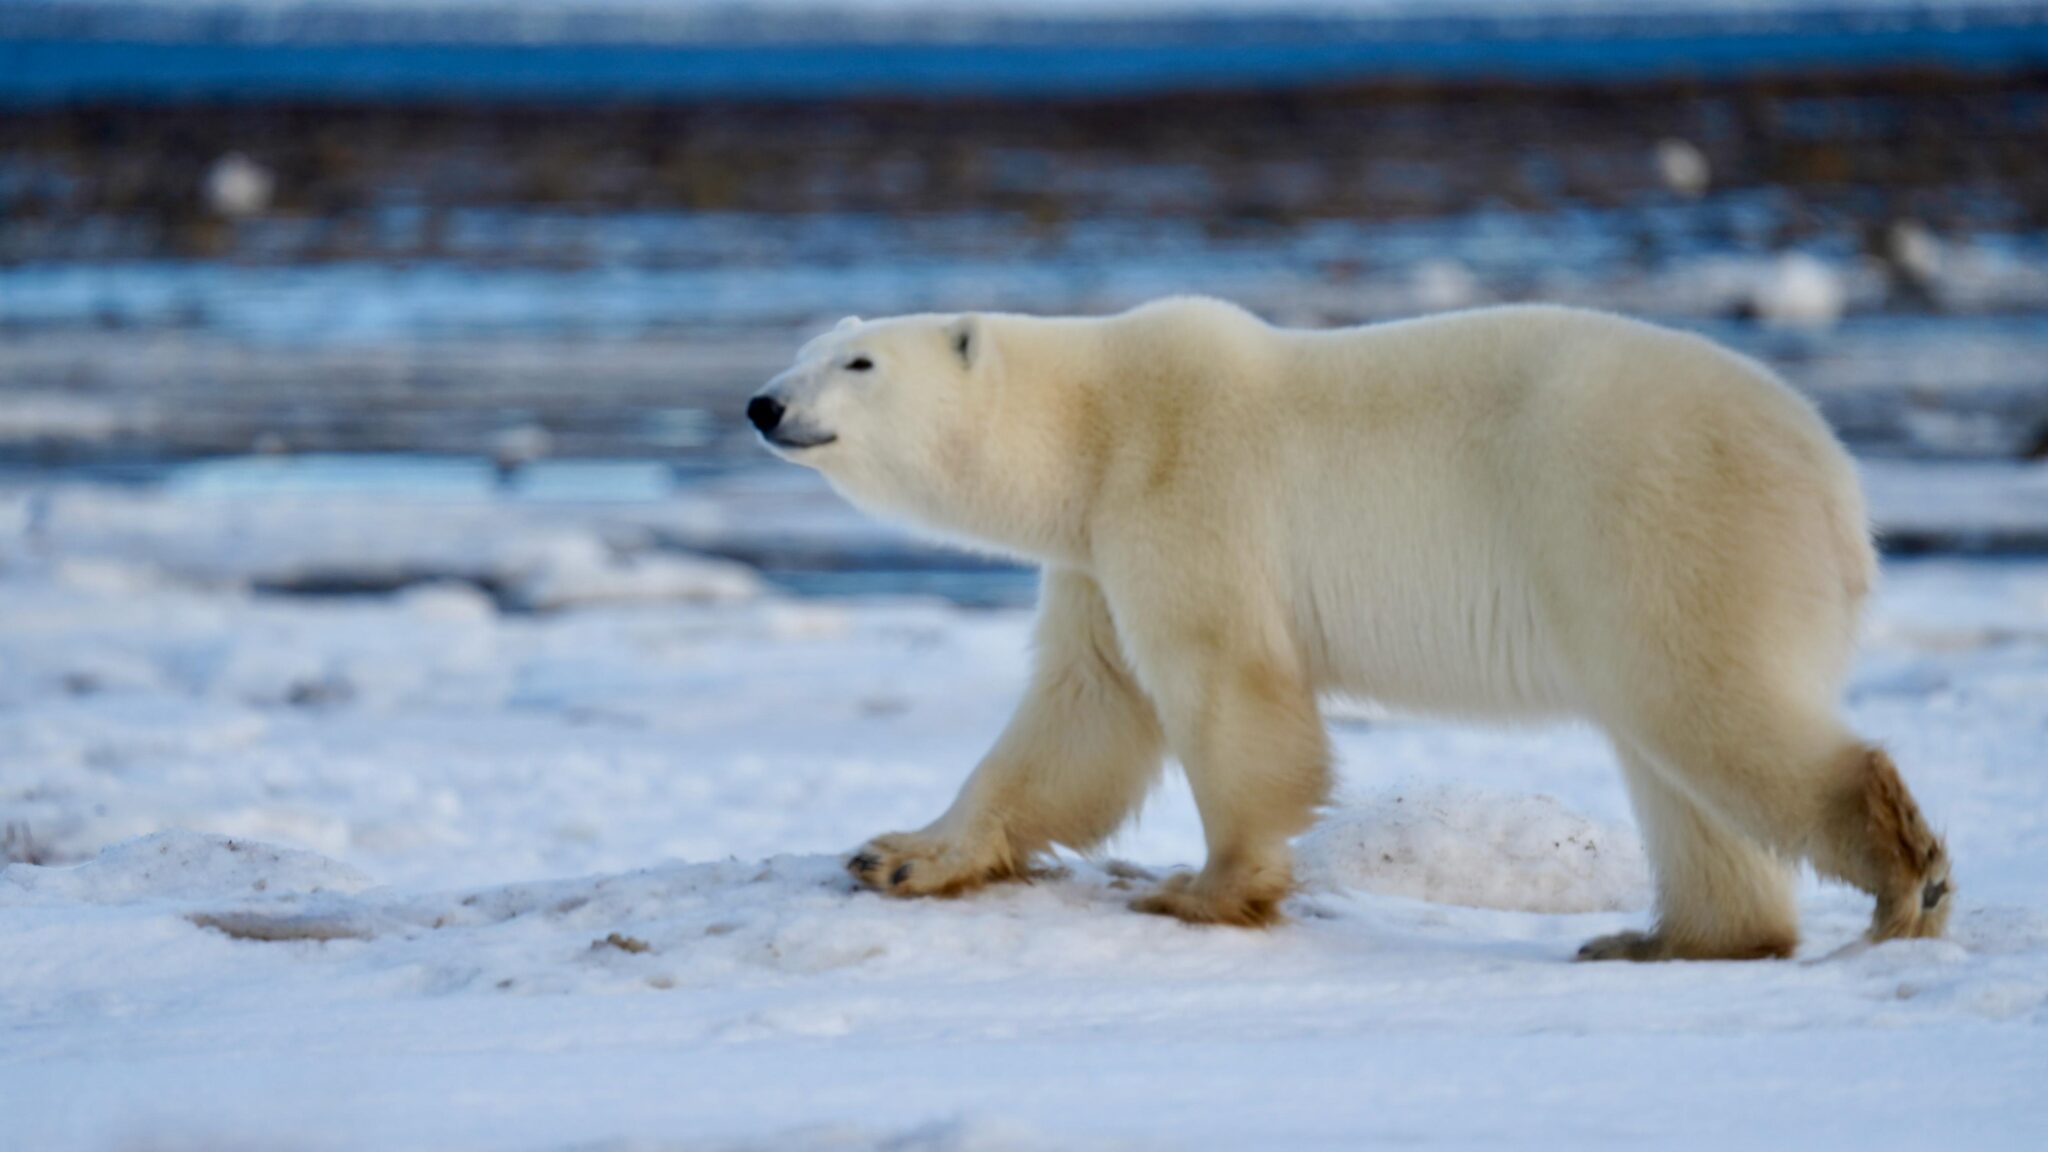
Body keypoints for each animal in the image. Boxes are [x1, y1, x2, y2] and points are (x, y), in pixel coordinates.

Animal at [746, 298, 1951, 960]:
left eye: (858, 363)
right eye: (802, 348)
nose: (763, 403)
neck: (1094, 425)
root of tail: (1836, 482)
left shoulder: (1183, 487)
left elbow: (1222, 682)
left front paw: (1201, 888)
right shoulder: (1095, 545)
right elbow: (1083, 705)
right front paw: (899, 854)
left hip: (1658, 519)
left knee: (1706, 705)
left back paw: (1905, 883)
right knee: (1676, 760)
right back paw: (1666, 938)